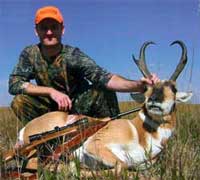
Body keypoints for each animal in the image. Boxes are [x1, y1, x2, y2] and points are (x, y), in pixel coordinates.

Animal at [17, 40, 192, 172]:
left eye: (174, 89)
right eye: (147, 88)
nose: (153, 100)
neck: (140, 132)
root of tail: (25, 129)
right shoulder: (94, 146)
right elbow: (122, 165)